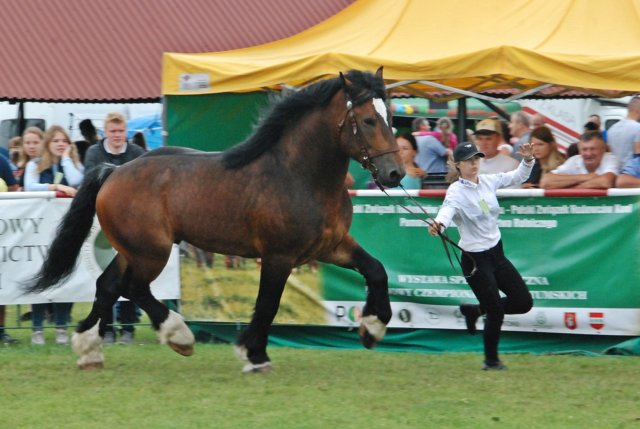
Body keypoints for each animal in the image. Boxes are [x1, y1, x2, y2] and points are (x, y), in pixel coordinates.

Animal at [26, 67, 404, 372]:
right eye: (368, 120)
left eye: (391, 117)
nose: (395, 172)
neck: (298, 176)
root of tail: (113, 171)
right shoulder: (279, 256)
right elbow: (267, 305)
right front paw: (254, 355)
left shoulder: (331, 246)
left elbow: (376, 270)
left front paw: (373, 327)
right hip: (152, 252)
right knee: (133, 288)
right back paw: (179, 335)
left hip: (134, 250)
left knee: (107, 285)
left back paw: (89, 350)